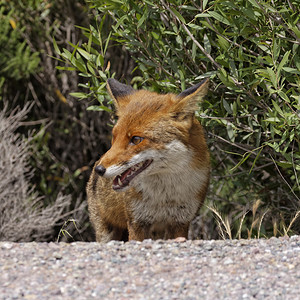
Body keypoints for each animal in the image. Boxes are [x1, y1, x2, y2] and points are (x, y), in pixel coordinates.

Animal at [85, 78, 210, 243]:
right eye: (114, 136)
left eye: (136, 139)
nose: (99, 169)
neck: (163, 197)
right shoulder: (136, 221)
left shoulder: (180, 222)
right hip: (107, 233)